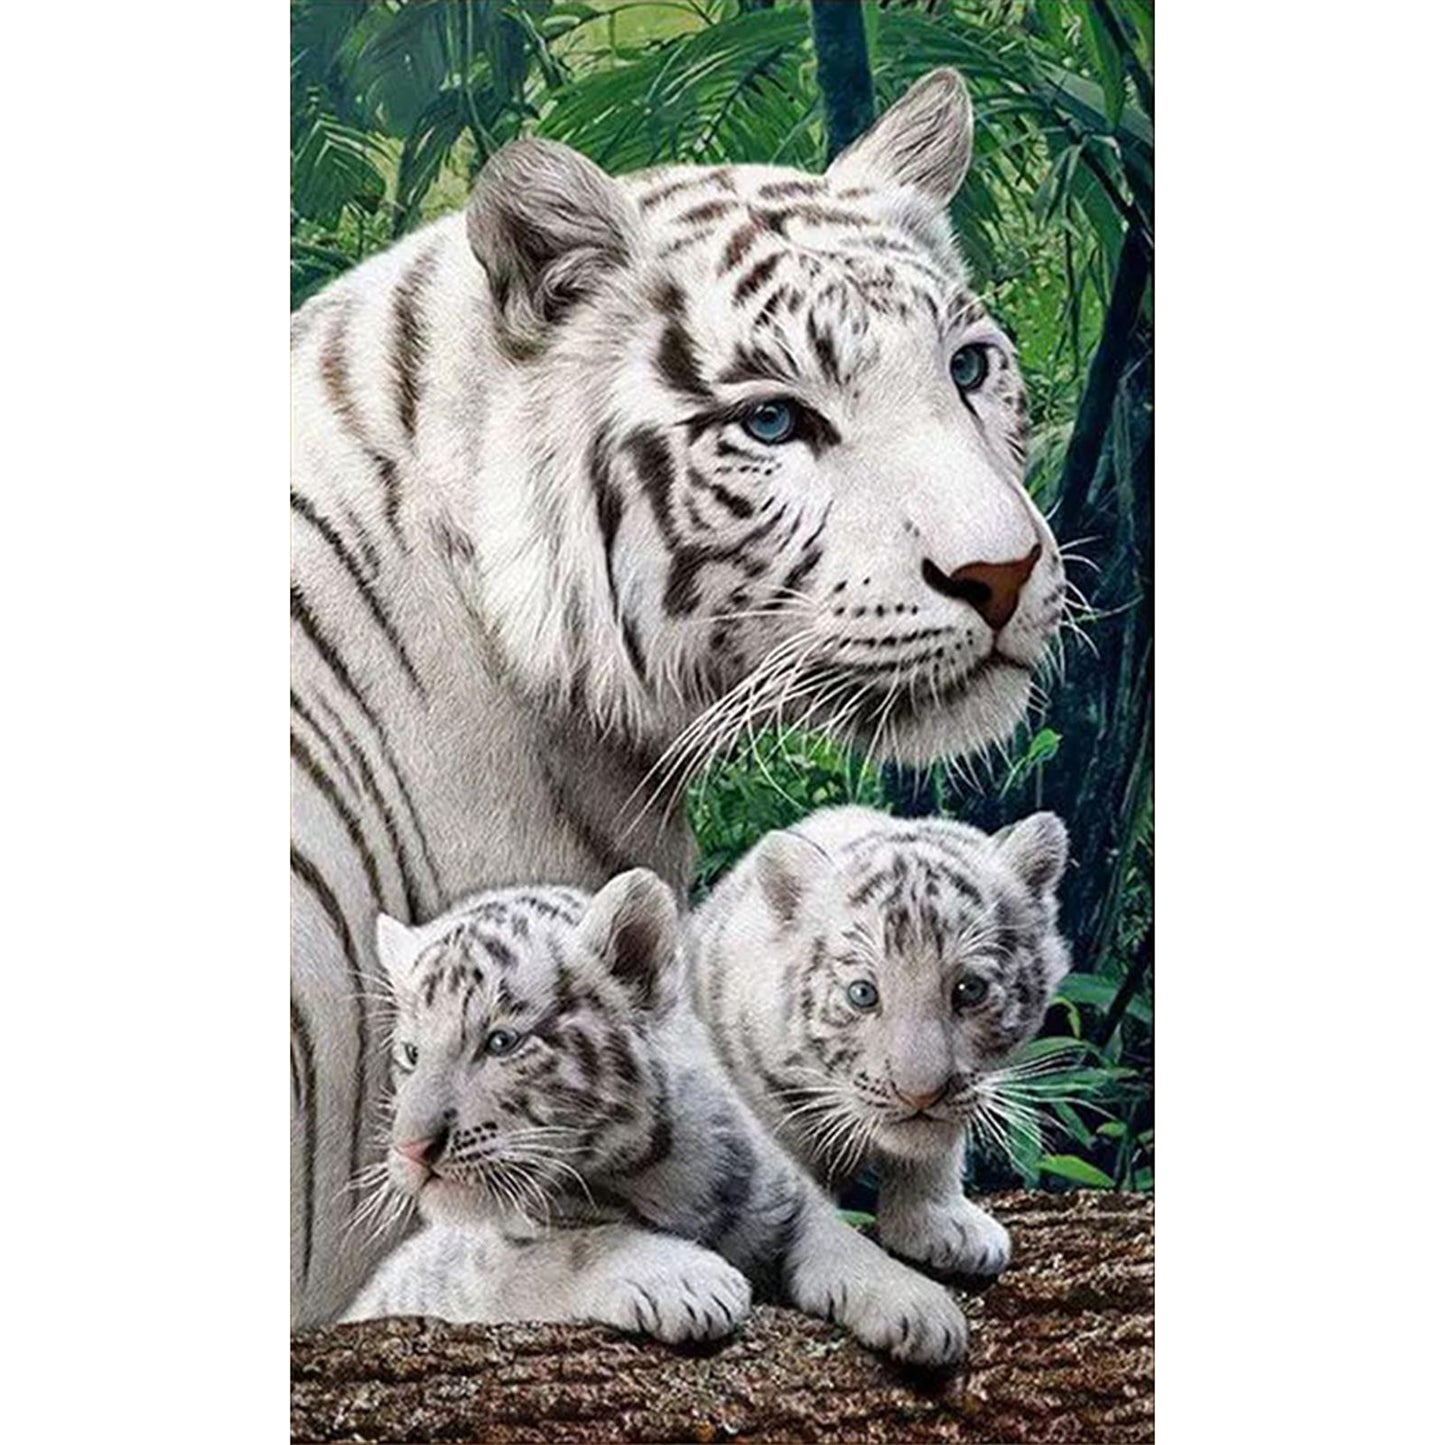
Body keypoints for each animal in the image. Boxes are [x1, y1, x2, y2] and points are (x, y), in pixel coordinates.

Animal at [342, 873, 970, 1367]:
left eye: (501, 1042)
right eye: (411, 1054)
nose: (411, 1148)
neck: (654, 1169)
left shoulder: (783, 1194)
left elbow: (839, 1237)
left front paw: (923, 1309)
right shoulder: (474, 1271)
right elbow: (569, 1249)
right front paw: (692, 1281)